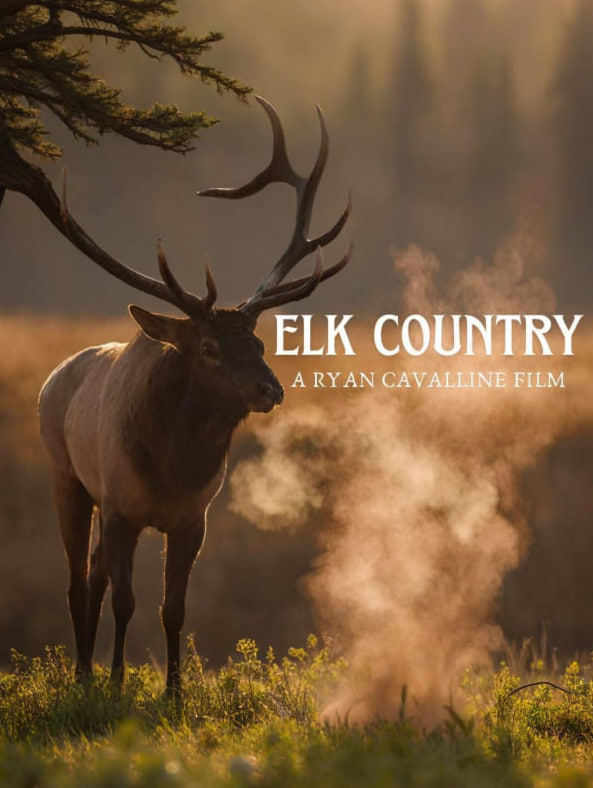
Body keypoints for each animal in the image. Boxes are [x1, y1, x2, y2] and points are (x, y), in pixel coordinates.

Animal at [36, 97, 352, 693]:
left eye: (258, 341)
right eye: (207, 347)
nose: (271, 388)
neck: (172, 469)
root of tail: (56, 375)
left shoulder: (192, 519)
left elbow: (173, 609)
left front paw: (175, 693)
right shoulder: (122, 508)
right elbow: (128, 602)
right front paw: (117, 685)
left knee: (93, 576)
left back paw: (88, 672)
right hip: (67, 477)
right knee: (77, 581)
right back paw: (84, 676)